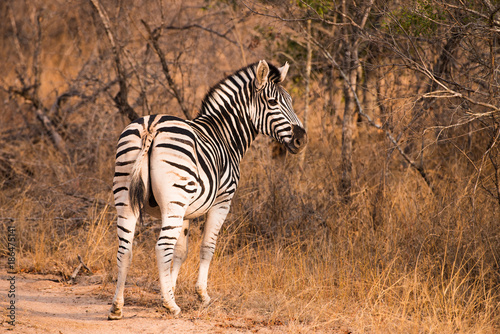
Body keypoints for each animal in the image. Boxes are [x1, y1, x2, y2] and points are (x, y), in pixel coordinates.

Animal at [107, 60, 306, 320]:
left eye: (290, 100)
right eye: (273, 103)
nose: (302, 139)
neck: (226, 136)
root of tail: (152, 124)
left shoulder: (186, 212)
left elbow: (181, 251)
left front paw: (169, 290)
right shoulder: (222, 201)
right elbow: (207, 247)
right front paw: (199, 295)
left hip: (127, 195)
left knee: (125, 249)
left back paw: (117, 307)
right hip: (173, 200)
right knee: (161, 248)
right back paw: (172, 307)